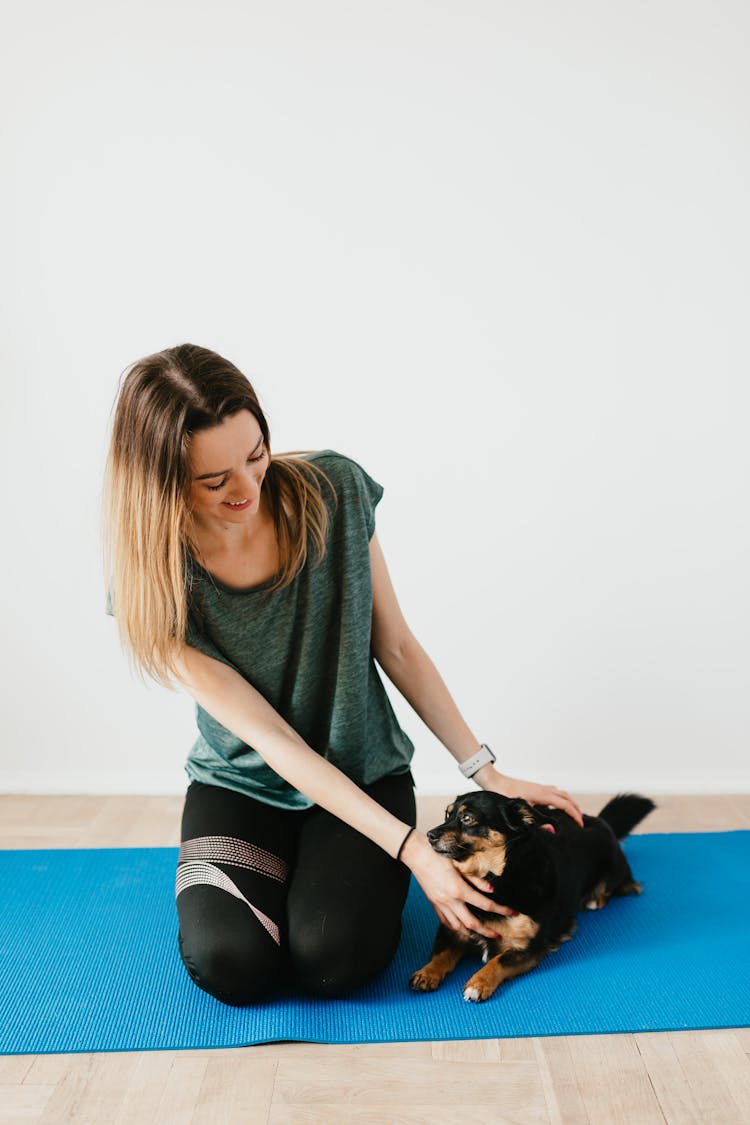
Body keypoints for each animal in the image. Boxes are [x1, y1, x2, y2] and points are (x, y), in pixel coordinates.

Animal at [411, 792, 656, 1003]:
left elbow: (498, 961)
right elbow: (441, 955)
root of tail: (598, 820)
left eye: (467, 818)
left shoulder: (529, 948)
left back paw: (594, 899)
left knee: (621, 887)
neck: (497, 876)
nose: (429, 835)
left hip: (613, 872)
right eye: (447, 815)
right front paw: (427, 973)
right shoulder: (453, 929)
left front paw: (478, 983)